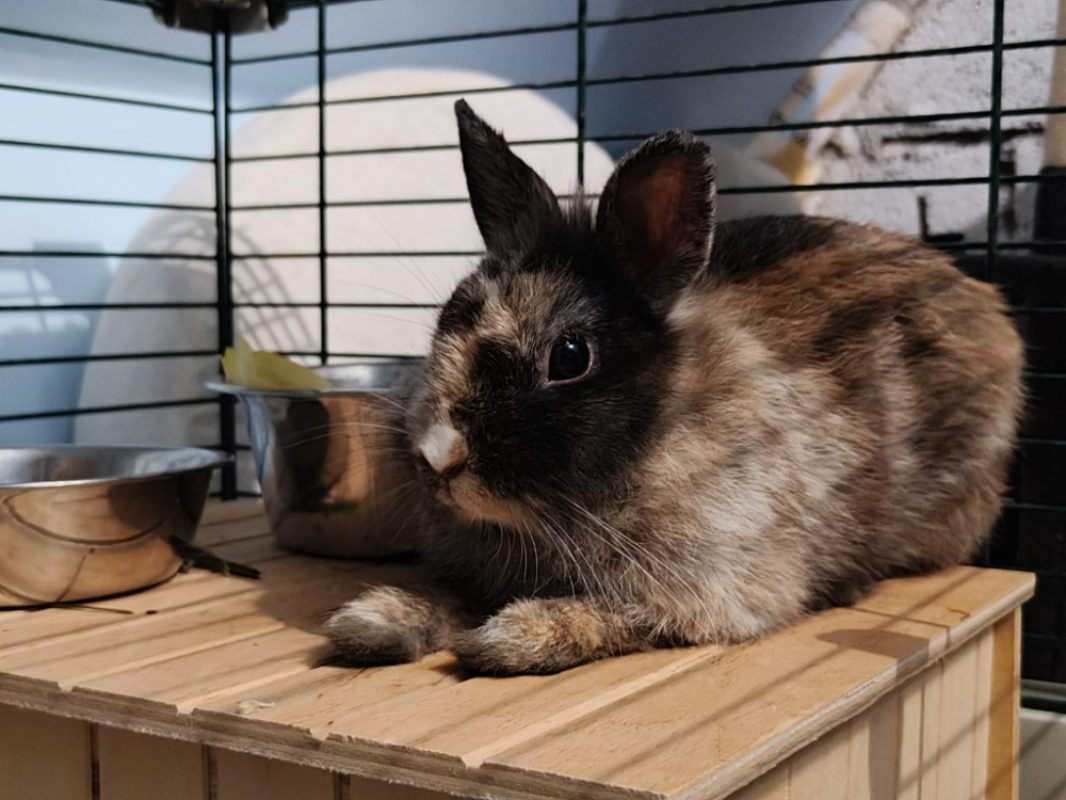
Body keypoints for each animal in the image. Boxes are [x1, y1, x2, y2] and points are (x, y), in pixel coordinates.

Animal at [324, 99, 1024, 675]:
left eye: (569, 357)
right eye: (447, 319)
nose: (439, 456)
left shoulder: (712, 591)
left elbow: (621, 615)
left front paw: (515, 637)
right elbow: (447, 597)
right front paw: (373, 622)